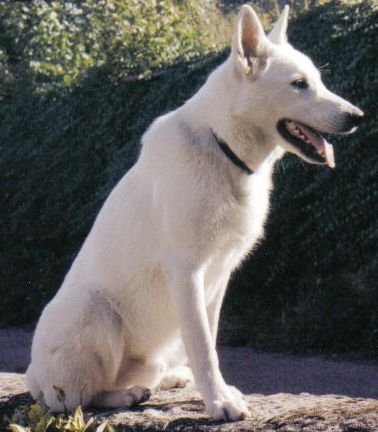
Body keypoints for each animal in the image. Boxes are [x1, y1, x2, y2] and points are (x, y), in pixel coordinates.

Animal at [26, 5, 364, 420]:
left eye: (317, 80)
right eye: (299, 84)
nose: (358, 116)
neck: (222, 147)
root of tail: (32, 377)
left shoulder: (219, 276)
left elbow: (208, 341)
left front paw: (216, 393)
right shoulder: (187, 271)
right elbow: (203, 346)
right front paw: (220, 402)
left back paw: (166, 379)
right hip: (93, 311)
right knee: (75, 399)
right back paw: (124, 395)